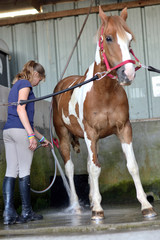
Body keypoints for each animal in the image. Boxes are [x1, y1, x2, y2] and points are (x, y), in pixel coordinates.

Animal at [52, 5, 156, 220]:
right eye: (108, 38)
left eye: (130, 39)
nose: (128, 73)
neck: (104, 92)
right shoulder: (90, 133)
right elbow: (94, 169)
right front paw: (98, 210)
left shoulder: (123, 129)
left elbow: (131, 166)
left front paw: (146, 205)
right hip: (64, 136)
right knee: (70, 168)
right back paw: (76, 206)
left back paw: (91, 200)